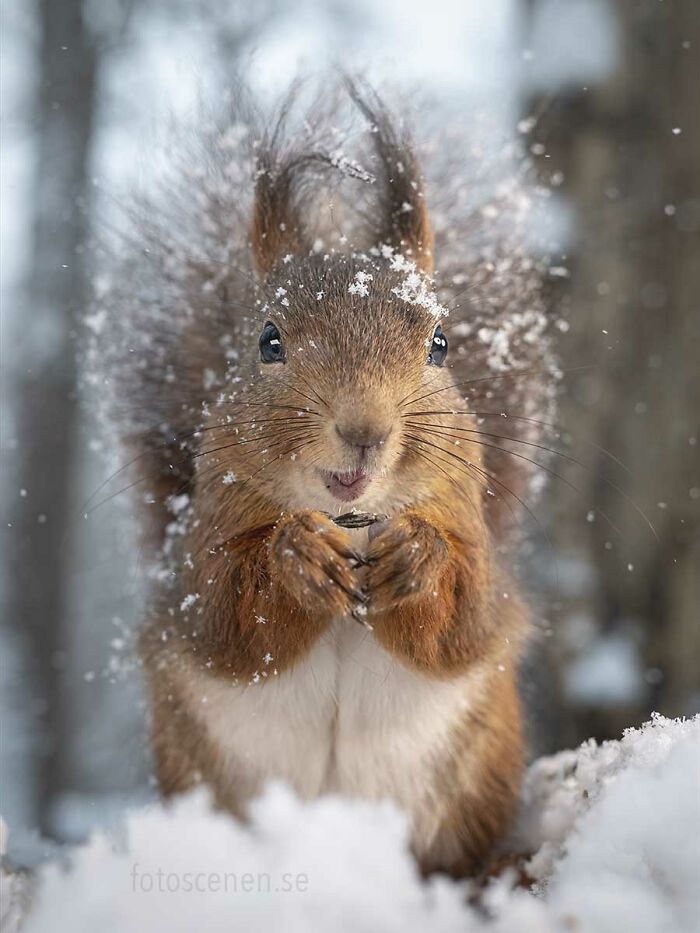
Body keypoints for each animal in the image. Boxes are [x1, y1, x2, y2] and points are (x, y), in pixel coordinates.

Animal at [94, 80, 557, 877]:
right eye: (267, 340)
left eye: (441, 342)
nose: (364, 431)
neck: (354, 522)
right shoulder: (203, 544)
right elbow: (227, 614)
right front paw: (296, 558)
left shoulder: (470, 530)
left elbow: (463, 617)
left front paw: (419, 557)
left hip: (482, 767)